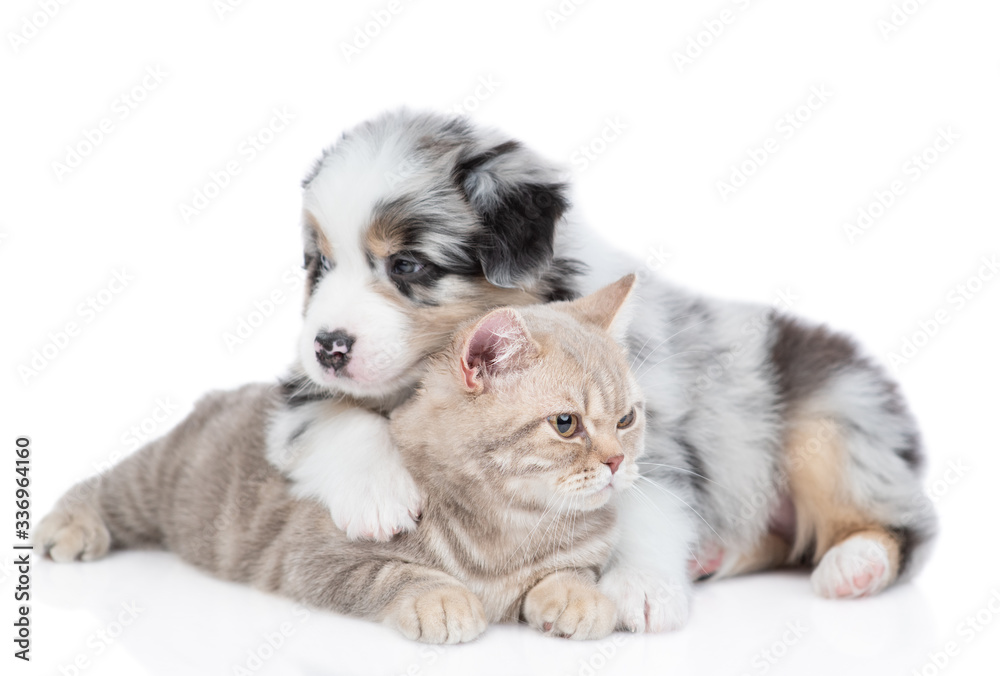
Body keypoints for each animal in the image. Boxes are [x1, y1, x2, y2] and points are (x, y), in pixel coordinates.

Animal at [37, 276, 688, 644]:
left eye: (627, 419)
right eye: (566, 424)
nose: (617, 463)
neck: (511, 526)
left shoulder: (584, 554)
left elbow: (572, 572)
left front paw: (578, 599)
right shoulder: (316, 558)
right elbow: (394, 573)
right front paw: (442, 599)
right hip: (163, 481)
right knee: (107, 485)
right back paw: (69, 525)